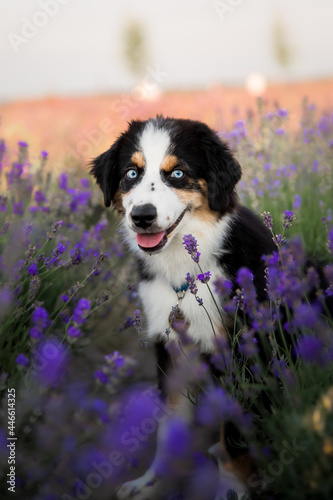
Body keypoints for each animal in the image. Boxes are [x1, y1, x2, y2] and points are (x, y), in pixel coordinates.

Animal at [89, 116, 276, 496]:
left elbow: (235, 438)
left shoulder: (241, 355)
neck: (184, 271)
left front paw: (231, 490)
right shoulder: (171, 350)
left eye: (177, 174)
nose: (142, 216)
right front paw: (152, 481)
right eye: (131, 173)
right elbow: (167, 426)